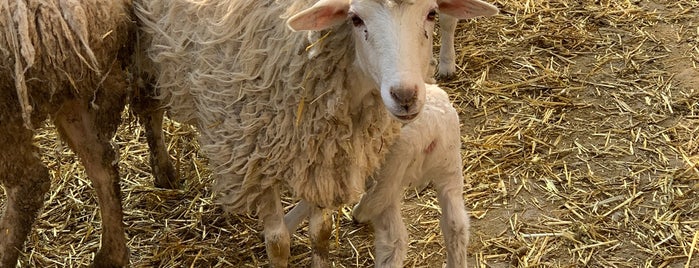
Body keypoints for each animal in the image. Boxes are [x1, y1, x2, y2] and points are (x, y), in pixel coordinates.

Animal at [284, 84, 470, 268]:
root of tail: (431, 132)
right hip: (448, 167)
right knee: (456, 226)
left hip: (389, 172)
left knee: (394, 239)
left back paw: (360, 214)